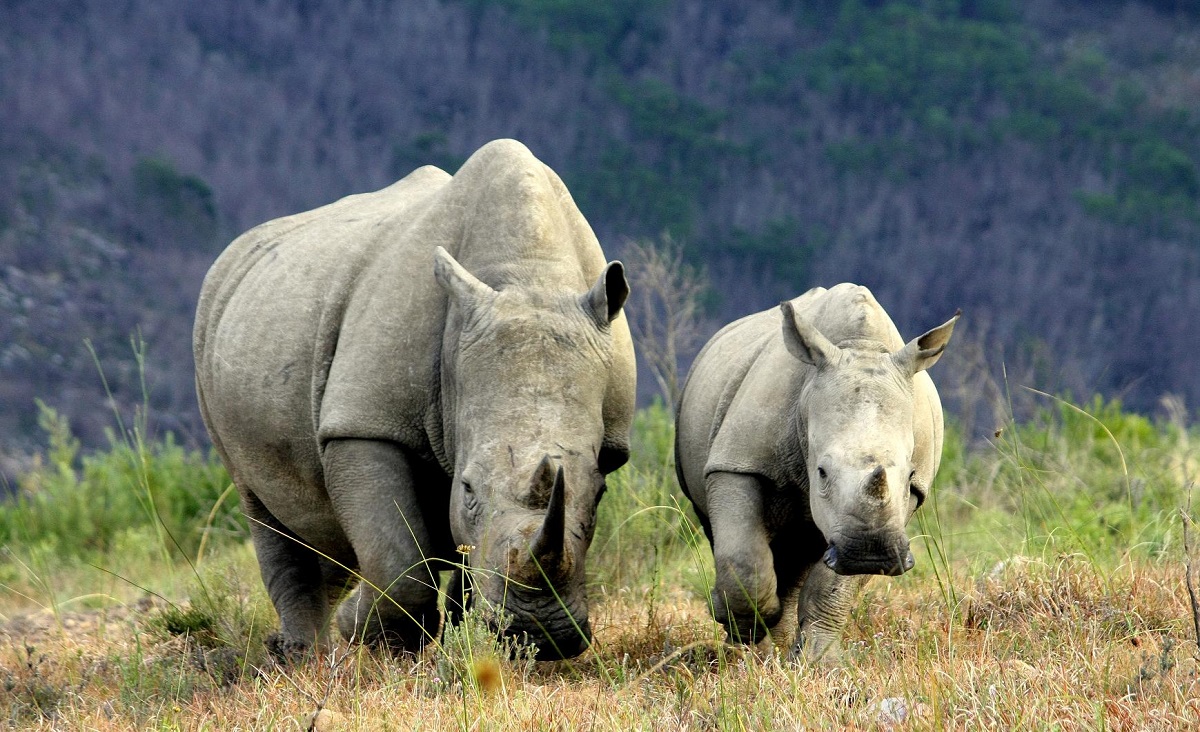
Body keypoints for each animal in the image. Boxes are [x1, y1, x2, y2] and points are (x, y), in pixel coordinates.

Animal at [193, 139, 636, 661]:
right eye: (467, 489)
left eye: (600, 493)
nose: (537, 633)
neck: (530, 275)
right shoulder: (363, 423)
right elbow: (397, 556)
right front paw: (375, 638)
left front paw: (471, 645)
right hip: (215, 338)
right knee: (260, 504)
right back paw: (306, 659)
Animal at [675, 284, 958, 663]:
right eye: (821, 472)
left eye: (910, 474)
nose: (870, 551)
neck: (861, 346)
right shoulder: (737, 463)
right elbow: (743, 559)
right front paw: (744, 627)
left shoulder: (906, 500)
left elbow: (833, 586)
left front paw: (820, 661)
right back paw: (754, 644)